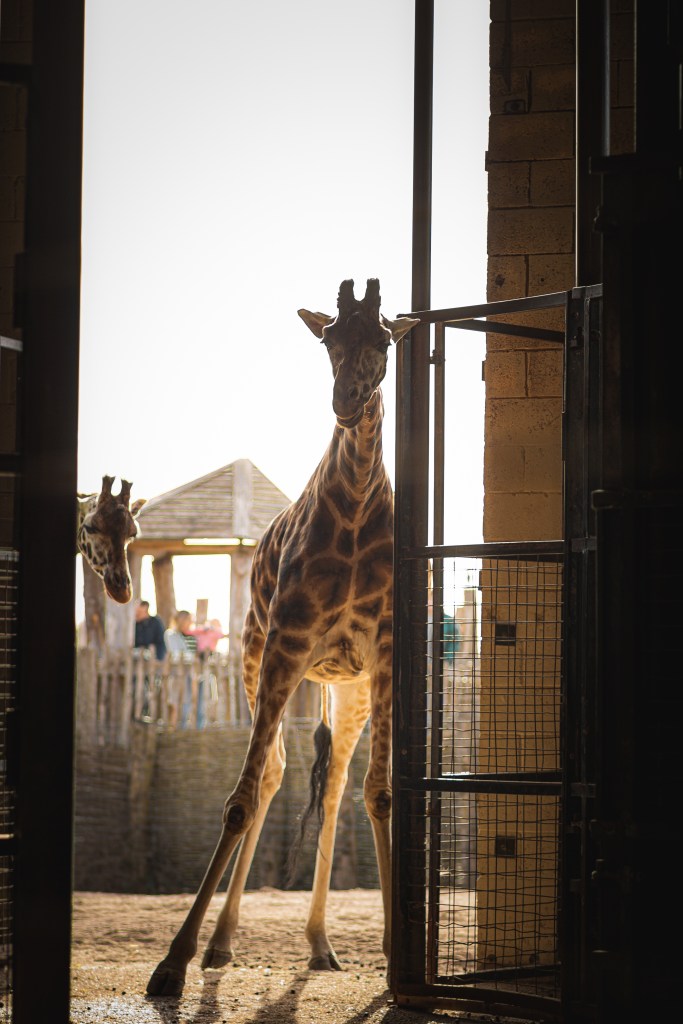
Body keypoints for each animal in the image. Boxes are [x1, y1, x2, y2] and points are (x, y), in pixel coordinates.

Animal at [146, 278, 419, 997]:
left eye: (384, 340)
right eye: (328, 339)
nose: (346, 402)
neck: (354, 511)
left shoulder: (384, 655)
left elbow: (380, 791)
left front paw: (395, 954)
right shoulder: (285, 647)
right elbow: (239, 800)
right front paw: (173, 962)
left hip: (347, 687)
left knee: (336, 783)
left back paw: (321, 944)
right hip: (252, 659)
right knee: (273, 775)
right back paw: (220, 945)